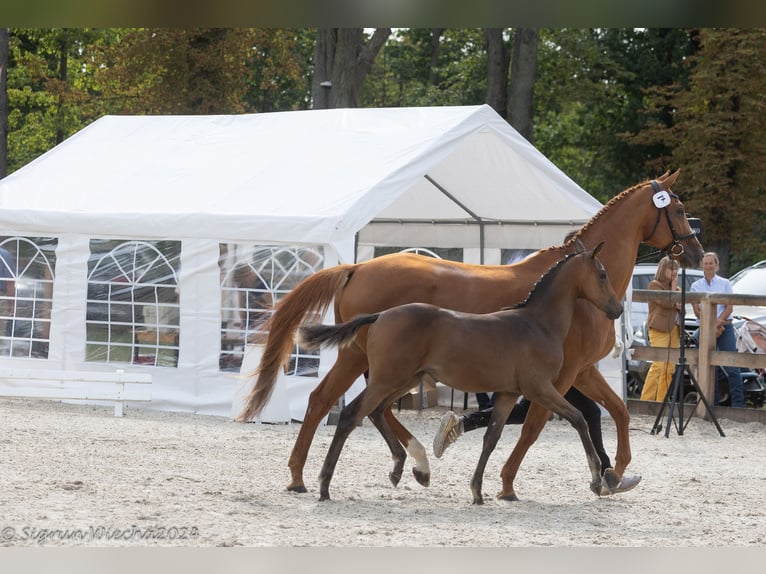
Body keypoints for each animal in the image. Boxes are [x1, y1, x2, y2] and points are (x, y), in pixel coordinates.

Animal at [300, 242, 624, 504]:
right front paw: (597, 480)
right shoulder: (540, 388)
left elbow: (491, 438)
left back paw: (401, 470)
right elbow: (579, 419)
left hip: (404, 380)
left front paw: (477, 491)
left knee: (377, 411)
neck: (537, 324)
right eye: (602, 274)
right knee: (350, 414)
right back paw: (324, 485)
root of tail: (381, 315)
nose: (618, 309)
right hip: (386, 379)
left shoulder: (509, 393)